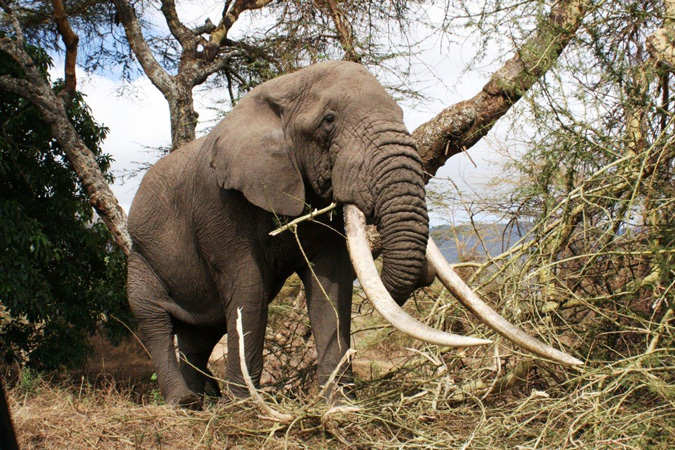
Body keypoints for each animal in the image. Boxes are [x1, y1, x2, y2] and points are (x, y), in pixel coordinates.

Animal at [128, 59, 580, 408]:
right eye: (329, 122)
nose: (424, 276)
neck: (281, 89)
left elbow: (330, 284)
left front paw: (339, 404)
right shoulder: (220, 207)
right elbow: (248, 290)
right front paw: (247, 409)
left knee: (199, 336)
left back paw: (206, 400)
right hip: (140, 255)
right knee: (154, 320)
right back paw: (186, 404)